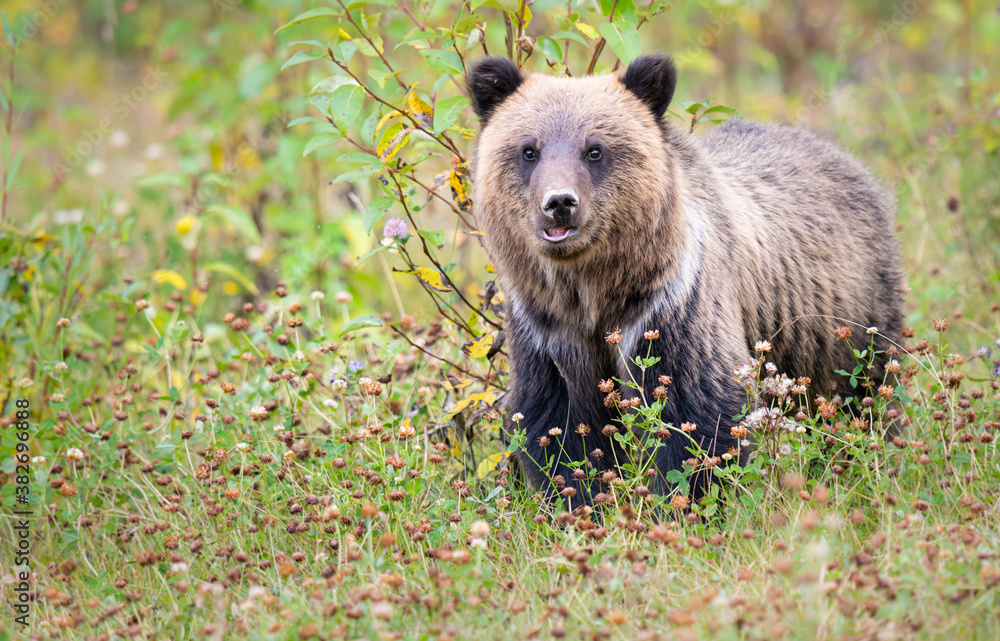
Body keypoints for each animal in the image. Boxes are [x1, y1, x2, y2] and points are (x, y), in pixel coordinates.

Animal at [466, 54, 905, 503]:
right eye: (528, 150)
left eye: (594, 149)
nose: (559, 203)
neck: (595, 290)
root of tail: (844, 156)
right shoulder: (548, 330)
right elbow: (560, 425)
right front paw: (582, 499)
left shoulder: (671, 306)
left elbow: (698, 411)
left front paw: (679, 501)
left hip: (845, 319)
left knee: (867, 387)